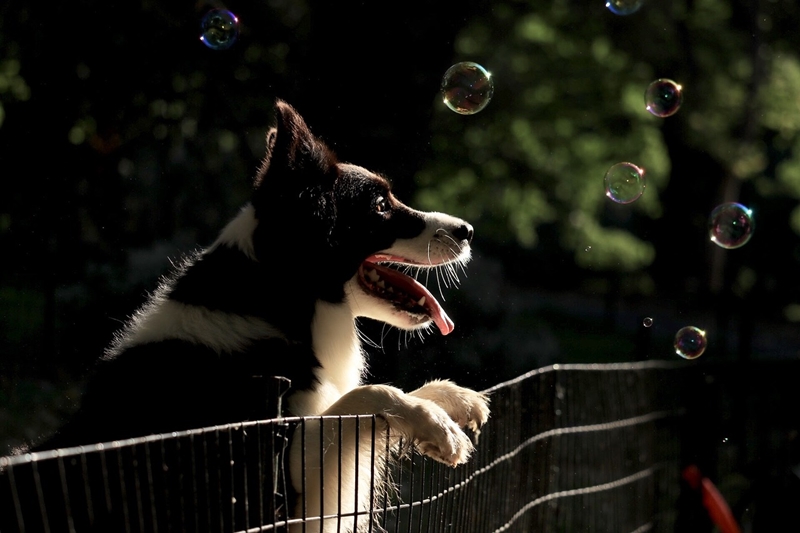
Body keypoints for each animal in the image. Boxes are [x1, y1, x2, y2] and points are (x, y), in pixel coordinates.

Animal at [18, 98, 490, 528]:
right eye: (380, 205)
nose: (468, 231)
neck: (279, 300)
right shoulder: (275, 481)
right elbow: (366, 395)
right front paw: (435, 424)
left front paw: (451, 399)